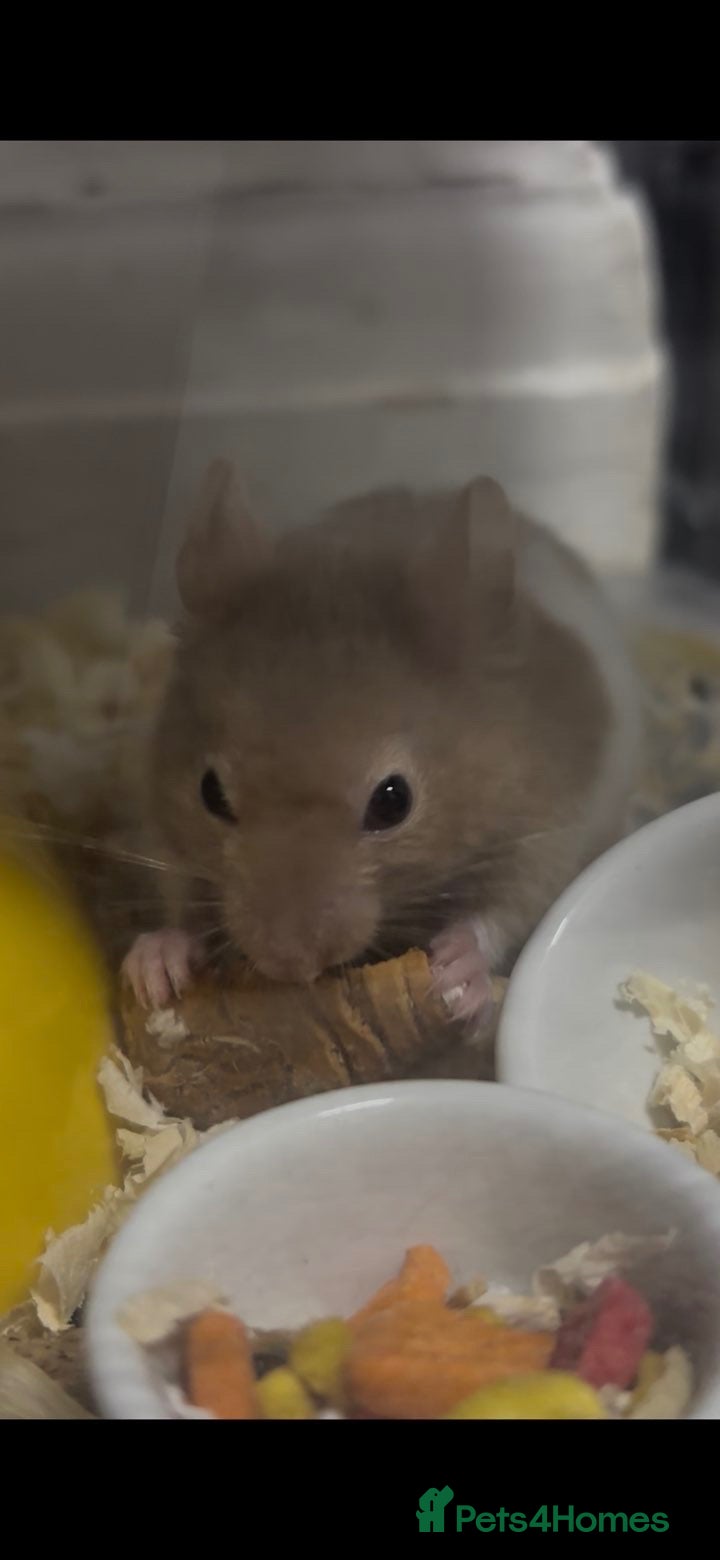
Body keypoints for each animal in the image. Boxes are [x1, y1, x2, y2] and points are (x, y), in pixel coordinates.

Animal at [123, 460, 639, 1017]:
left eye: (394, 802)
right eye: (210, 793)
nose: (289, 966)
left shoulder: (546, 833)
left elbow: (496, 914)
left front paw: (453, 982)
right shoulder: (162, 831)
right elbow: (182, 902)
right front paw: (152, 969)